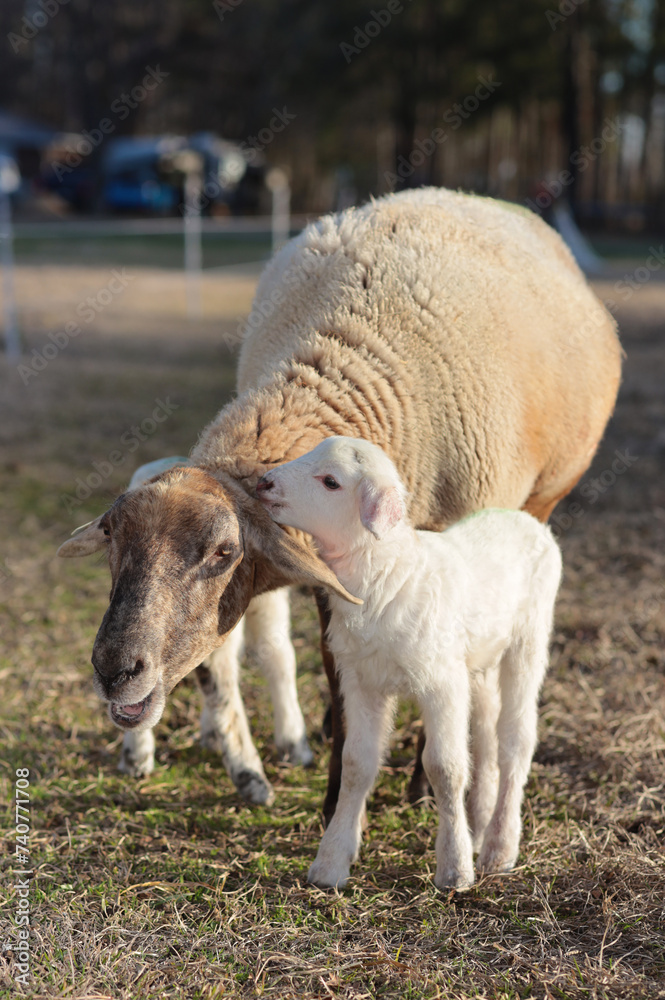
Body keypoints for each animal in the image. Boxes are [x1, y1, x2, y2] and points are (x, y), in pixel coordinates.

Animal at [58, 188, 624, 820]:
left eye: (224, 552)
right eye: (111, 537)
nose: (114, 670)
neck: (350, 355)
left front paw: (421, 787)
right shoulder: (332, 569)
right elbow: (336, 669)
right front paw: (336, 795)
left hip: (543, 499)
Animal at [255, 438, 560, 892]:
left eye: (331, 481)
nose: (264, 482)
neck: (390, 572)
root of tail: (525, 519)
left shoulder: (442, 682)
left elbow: (444, 767)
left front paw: (454, 869)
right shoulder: (361, 680)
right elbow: (356, 763)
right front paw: (330, 863)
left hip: (528, 639)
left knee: (515, 742)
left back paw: (499, 848)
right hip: (480, 659)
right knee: (487, 738)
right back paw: (480, 825)